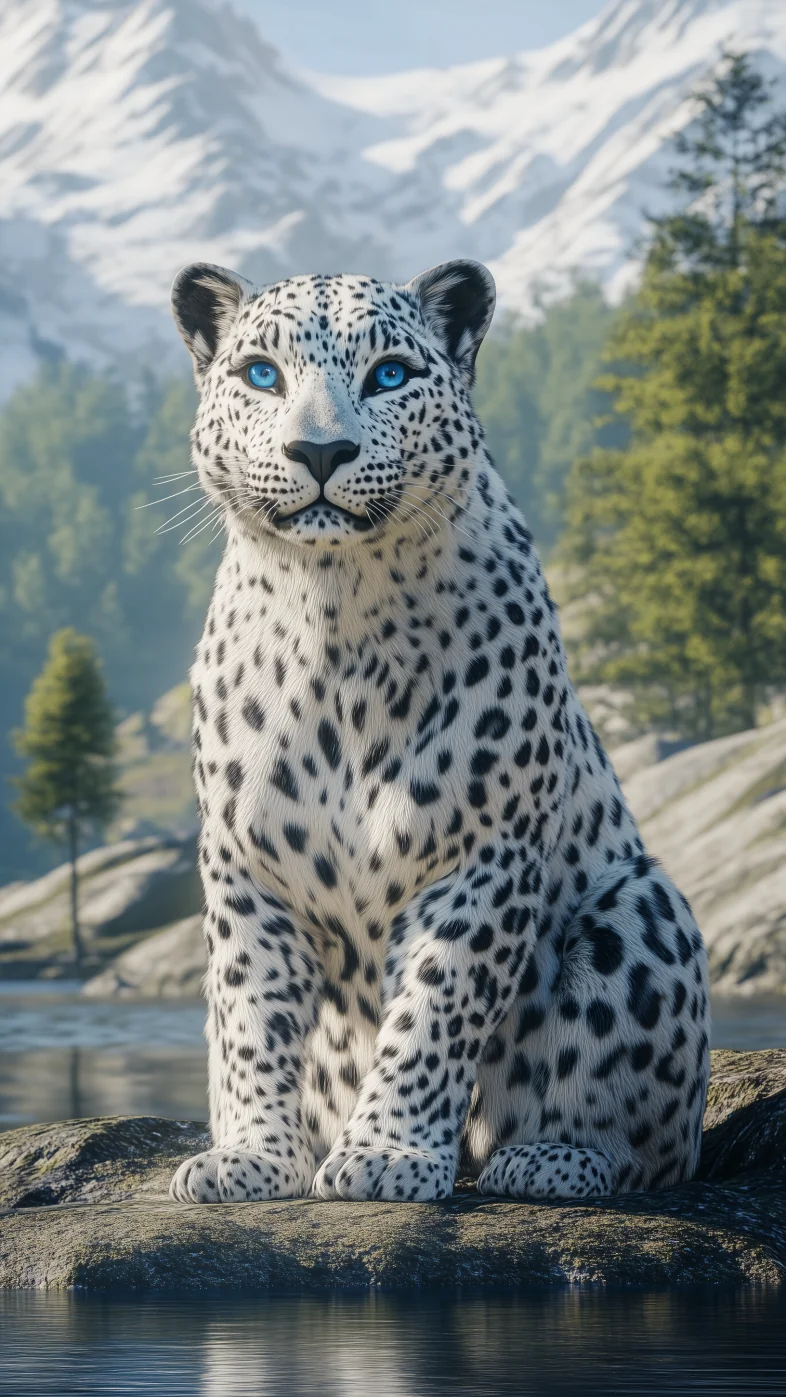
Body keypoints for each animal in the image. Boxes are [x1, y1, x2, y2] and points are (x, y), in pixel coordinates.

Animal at [167, 256, 710, 1206]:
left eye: (389, 374)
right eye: (261, 374)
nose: (319, 452)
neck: (334, 613)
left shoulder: (480, 852)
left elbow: (434, 1006)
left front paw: (385, 1155)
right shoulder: (243, 862)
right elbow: (248, 1015)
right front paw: (249, 1158)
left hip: (641, 906)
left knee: (654, 1143)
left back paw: (552, 1158)